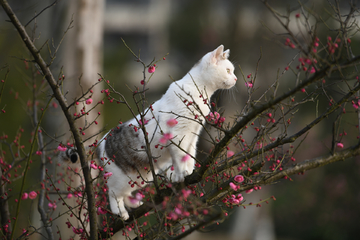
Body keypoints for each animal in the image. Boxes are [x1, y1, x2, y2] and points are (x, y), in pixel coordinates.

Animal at [60, 44, 238, 219]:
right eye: (229, 70)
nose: (236, 78)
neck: (199, 91)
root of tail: (100, 143)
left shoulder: (192, 134)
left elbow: (189, 154)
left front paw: (187, 171)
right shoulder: (178, 134)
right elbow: (179, 157)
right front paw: (181, 174)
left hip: (141, 176)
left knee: (125, 193)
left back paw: (134, 203)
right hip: (121, 177)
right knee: (113, 193)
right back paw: (121, 212)